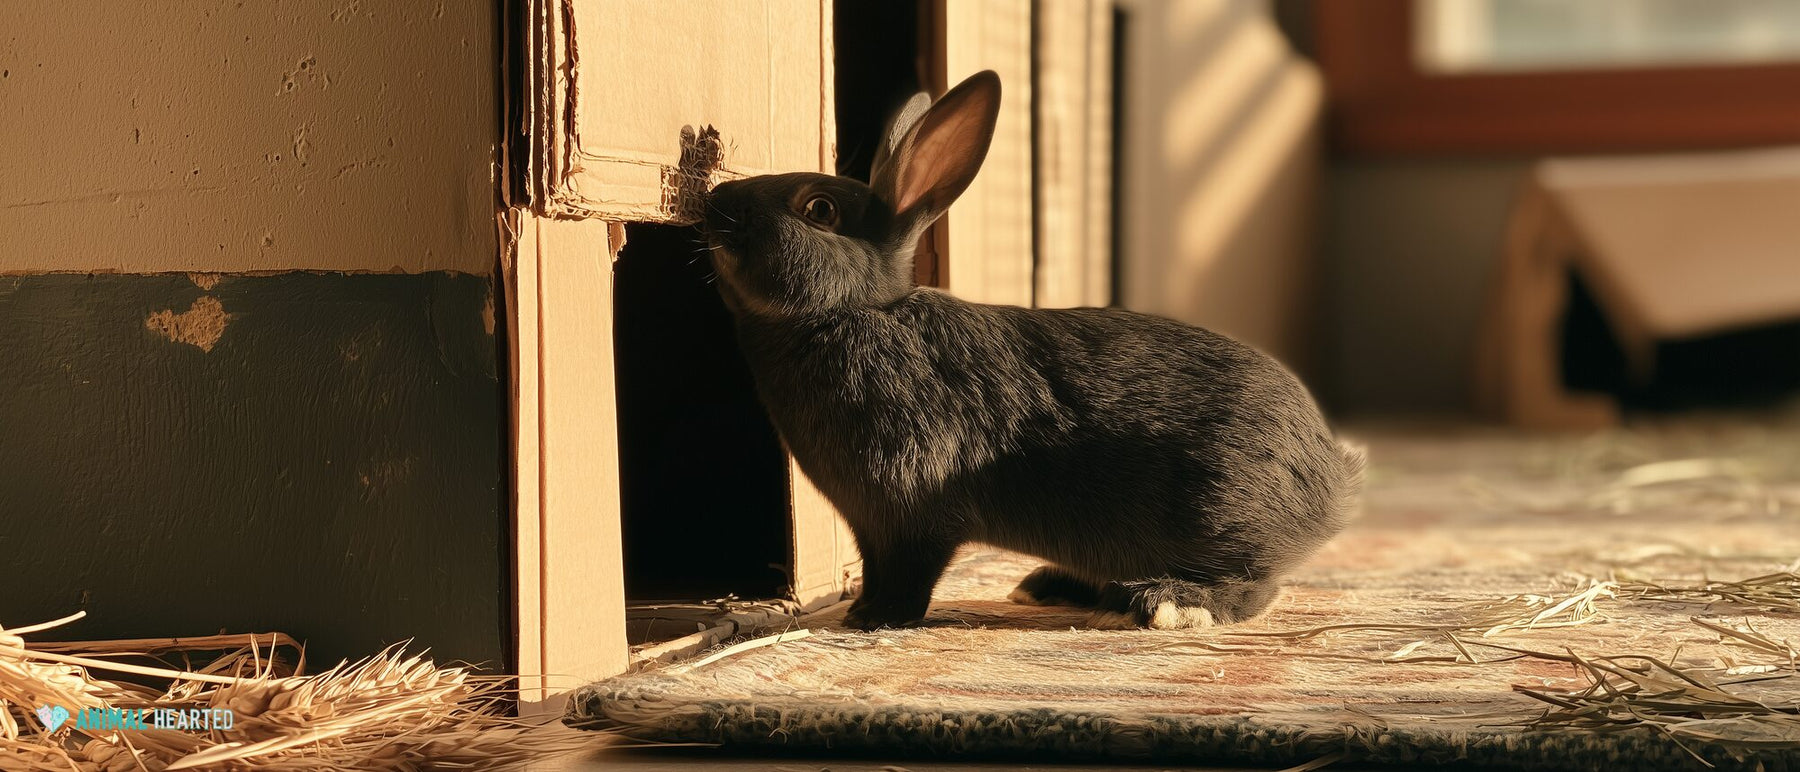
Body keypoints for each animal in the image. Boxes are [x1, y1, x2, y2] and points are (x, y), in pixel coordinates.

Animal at [702, 70, 1363, 632]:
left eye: (818, 209)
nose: (713, 205)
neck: (853, 312)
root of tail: (1333, 478)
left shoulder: (907, 514)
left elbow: (908, 574)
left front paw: (873, 620)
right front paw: (863, 612)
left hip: (1215, 516)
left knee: (1256, 587)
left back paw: (1167, 604)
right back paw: (1054, 587)